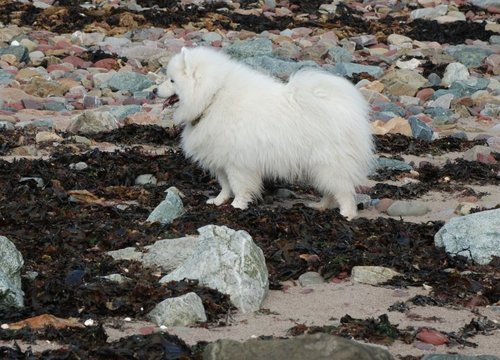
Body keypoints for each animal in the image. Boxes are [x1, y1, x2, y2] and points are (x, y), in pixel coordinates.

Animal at [155, 46, 372, 221]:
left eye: (172, 80)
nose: (154, 91)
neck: (212, 97)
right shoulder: (221, 158)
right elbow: (225, 185)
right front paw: (219, 201)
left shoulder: (238, 162)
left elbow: (239, 186)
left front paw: (237, 206)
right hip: (319, 166)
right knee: (331, 189)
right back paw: (321, 206)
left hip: (329, 164)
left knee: (343, 191)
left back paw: (347, 214)